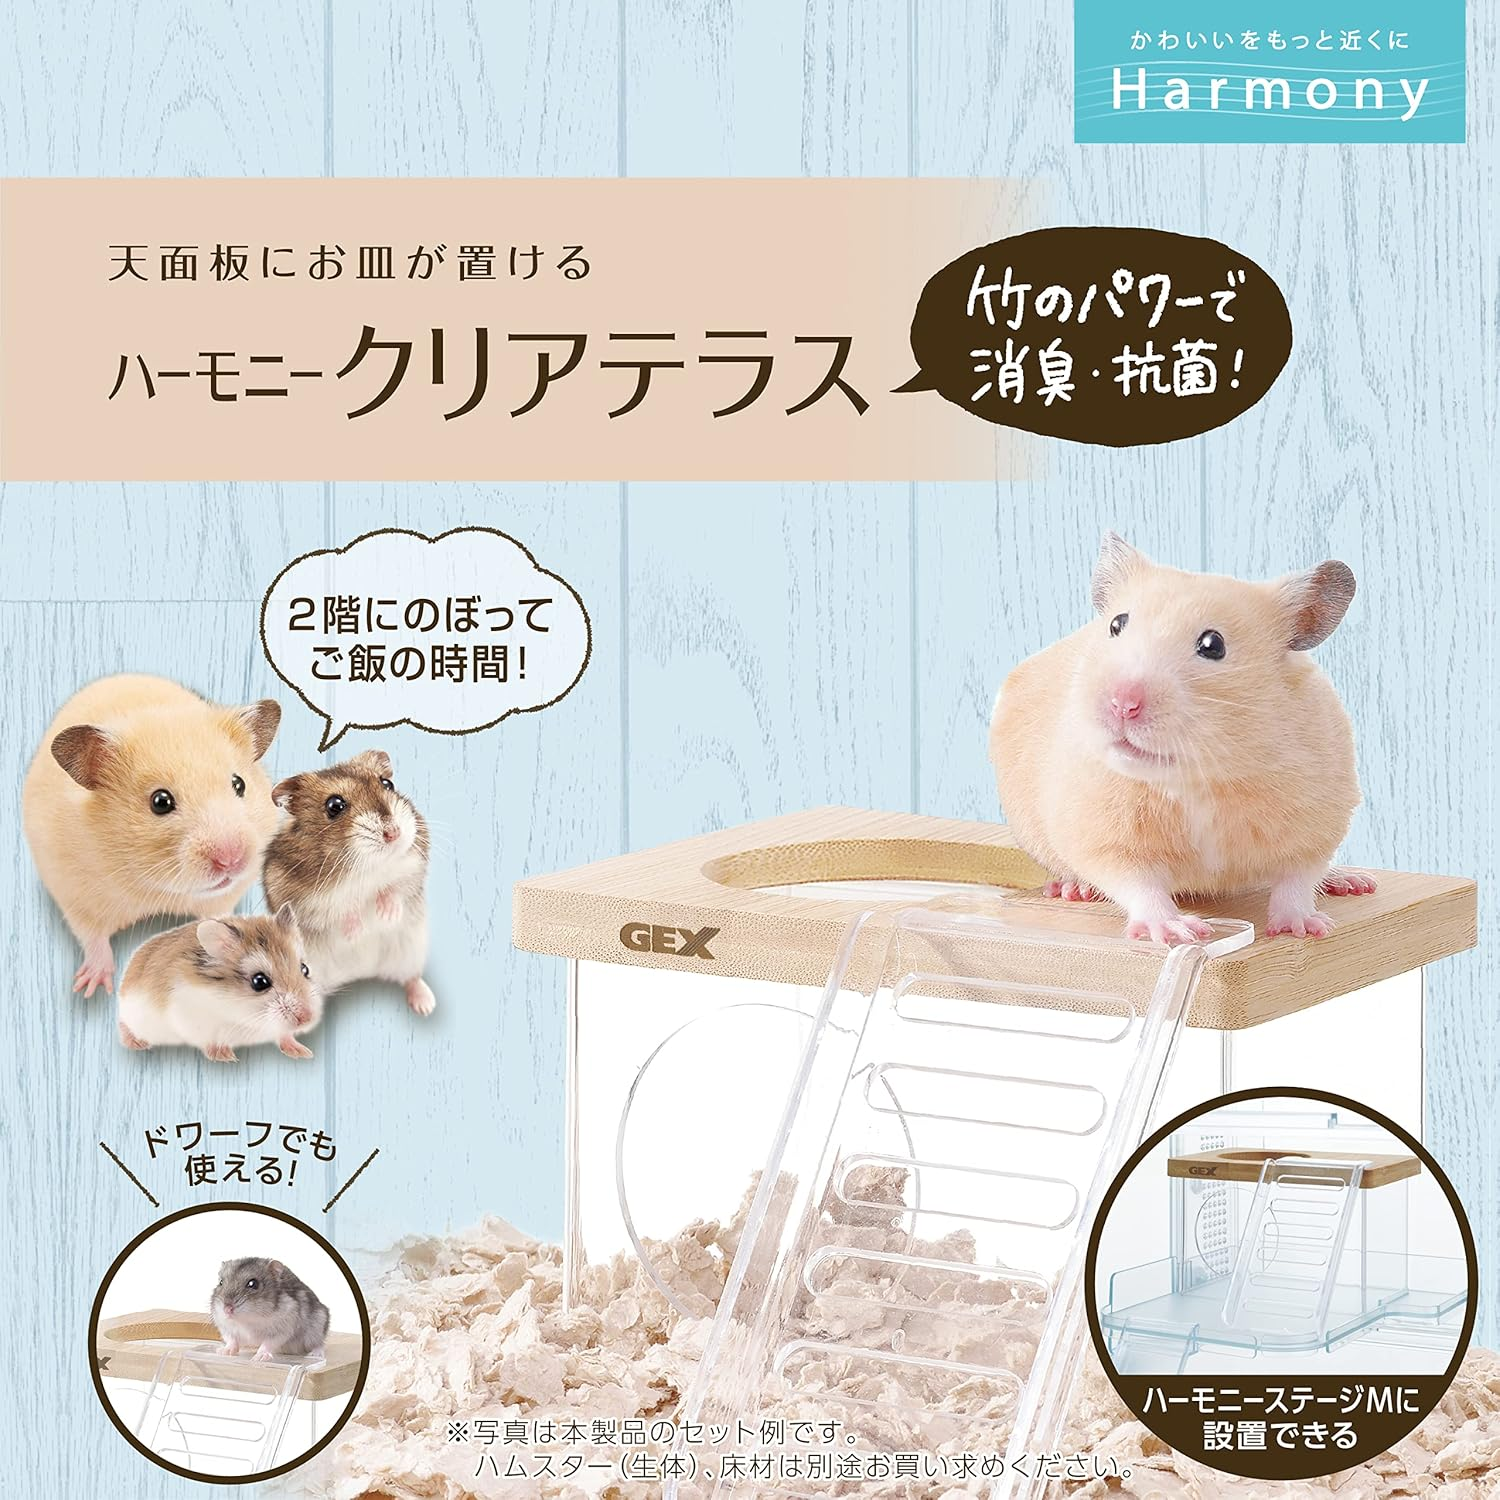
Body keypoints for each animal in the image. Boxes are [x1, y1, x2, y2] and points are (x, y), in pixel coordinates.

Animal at [23, 674, 282, 998]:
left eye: (239, 784)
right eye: (160, 802)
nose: (231, 860)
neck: (158, 889)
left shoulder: (223, 898)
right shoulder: (76, 895)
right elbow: (93, 937)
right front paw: (91, 987)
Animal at [116, 904, 323, 1061]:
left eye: (305, 969)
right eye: (259, 981)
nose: (307, 1018)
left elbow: (283, 1035)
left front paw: (303, 1052)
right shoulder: (191, 1019)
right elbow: (210, 1040)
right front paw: (226, 1057)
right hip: (131, 1012)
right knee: (123, 1023)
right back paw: (137, 1043)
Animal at [262, 749, 436, 1016]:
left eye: (387, 784)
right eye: (335, 805)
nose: (394, 833)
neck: (366, 868)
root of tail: (361, 972)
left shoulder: (414, 865)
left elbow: (395, 887)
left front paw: (387, 914)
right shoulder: (301, 898)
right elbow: (340, 907)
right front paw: (356, 932)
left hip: (410, 953)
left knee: (411, 978)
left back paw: (426, 1005)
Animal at [989, 533, 1373, 944]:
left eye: (1212, 644)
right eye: (1116, 624)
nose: (1122, 704)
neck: (1194, 775)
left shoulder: (1317, 818)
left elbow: (1298, 878)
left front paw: (1305, 928)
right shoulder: (1104, 836)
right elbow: (1137, 884)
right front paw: (1177, 932)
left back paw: (1350, 880)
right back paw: (1073, 889)